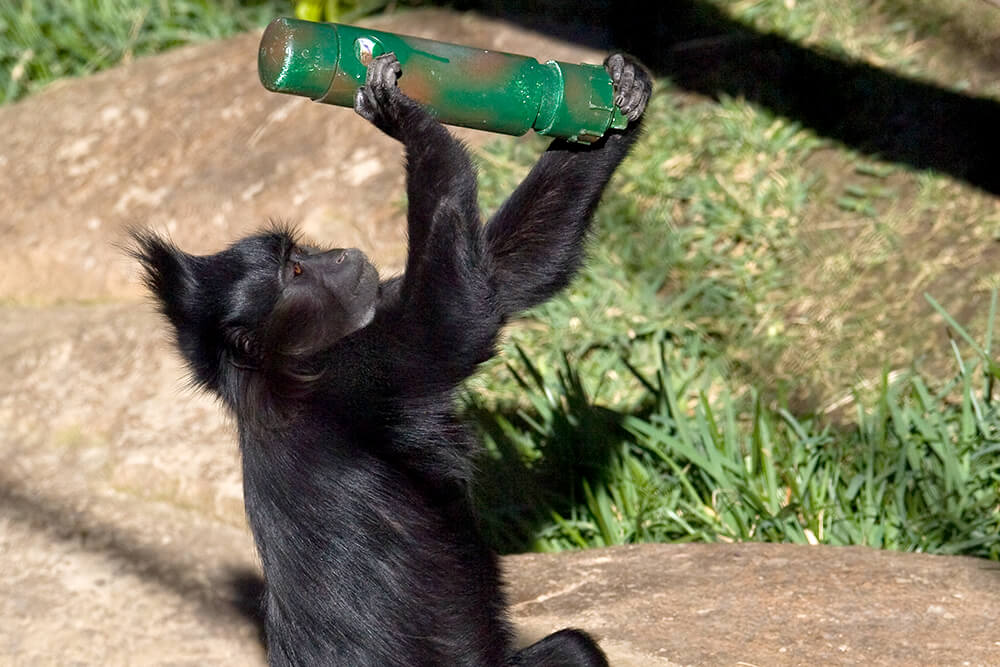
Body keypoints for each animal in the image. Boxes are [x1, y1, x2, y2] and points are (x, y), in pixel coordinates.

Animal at [131, 49, 648, 664]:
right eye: (297, 270)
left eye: (300, 251)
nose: (336, 253)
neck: (275, 375)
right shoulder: (357, 373)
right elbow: (461, 315)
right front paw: (406, 120)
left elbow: (508, 273)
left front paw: (619, 90)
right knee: (574, 648)